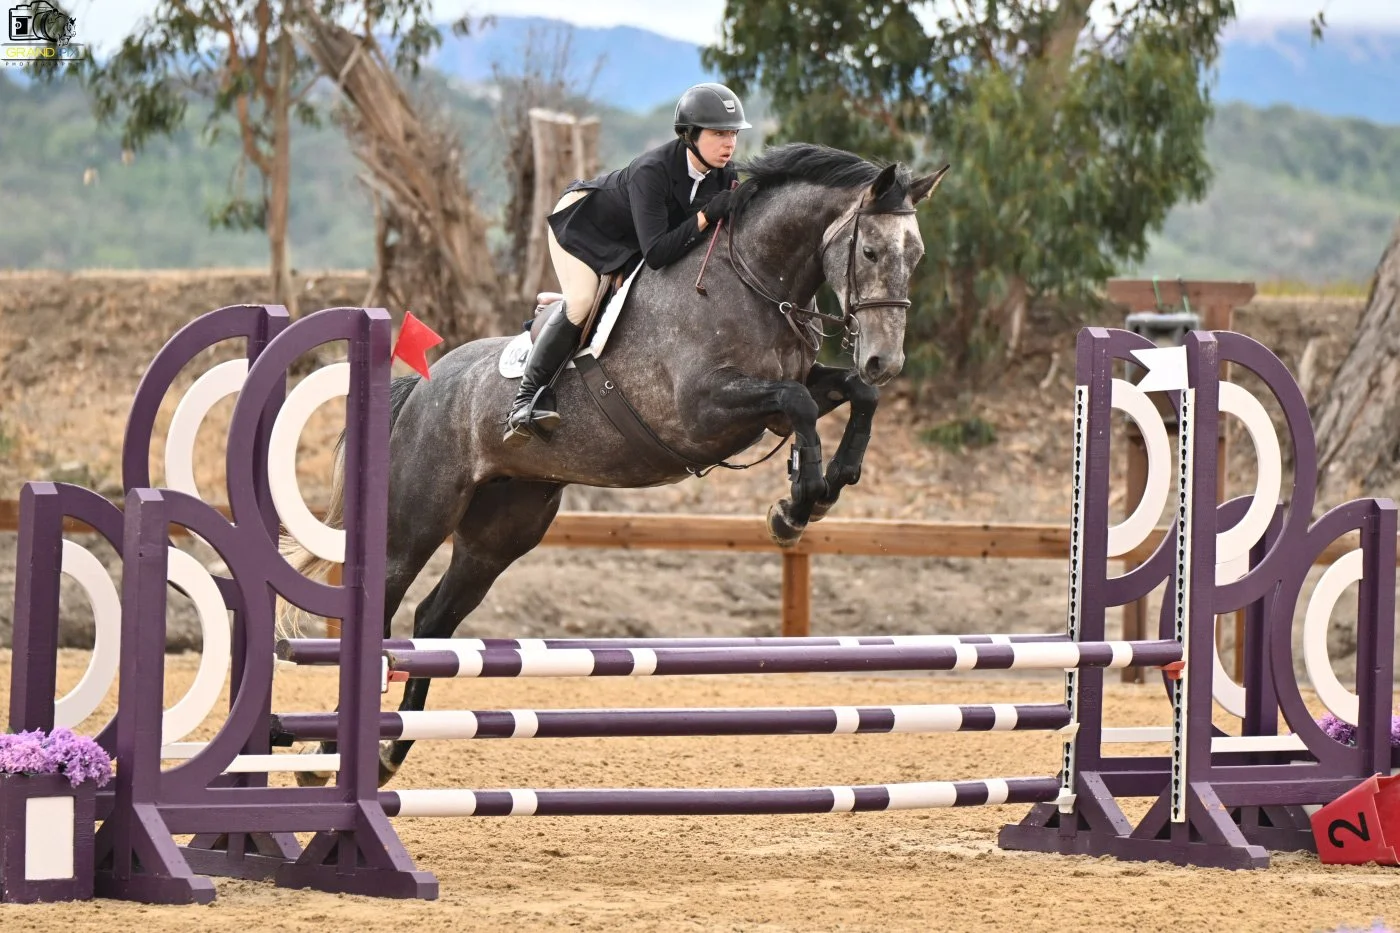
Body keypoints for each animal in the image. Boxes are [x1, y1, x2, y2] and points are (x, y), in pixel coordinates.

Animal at [282, 142, 948, 786]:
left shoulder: (780, 397)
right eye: (869, 250)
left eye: (915, 256)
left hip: (503, 529)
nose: (885, 361)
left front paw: (818, 491)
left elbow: (846, 397)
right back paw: (326, 755)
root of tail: (421, 386)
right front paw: (798, 502)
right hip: (418, 518)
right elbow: (800, 402)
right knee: (386, 600)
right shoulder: (702, 413)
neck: (752, 280)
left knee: (433, 617)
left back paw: (389, 755)